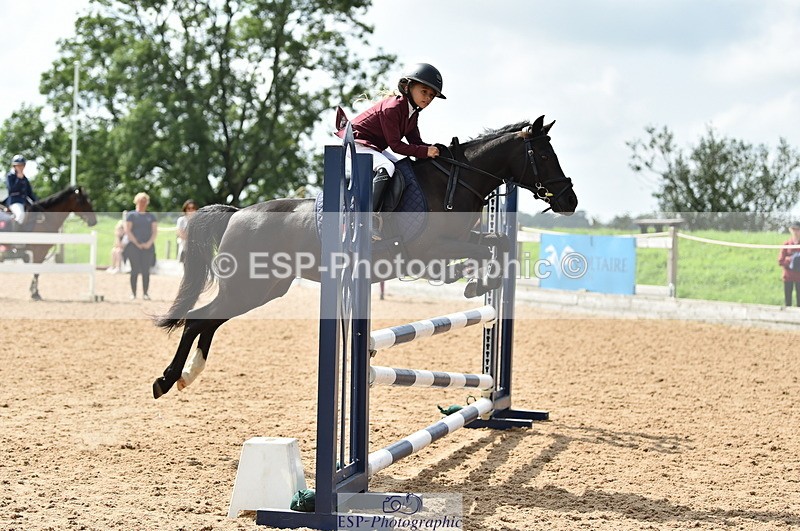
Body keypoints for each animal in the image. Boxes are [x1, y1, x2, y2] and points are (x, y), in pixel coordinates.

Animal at [152, 116, 578, 399]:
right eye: (544, 154)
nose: (570, 201)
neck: (454, 181)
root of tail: (237, 213)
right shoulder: (429, 250)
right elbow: (484, 249)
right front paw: (477, 282)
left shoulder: (455, 242)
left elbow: (497, 244)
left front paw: (478, 282)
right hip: (247, 286)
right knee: (197, 320)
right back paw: (166, 379)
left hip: (264, 289)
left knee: (208, 320)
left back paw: (188, 374)